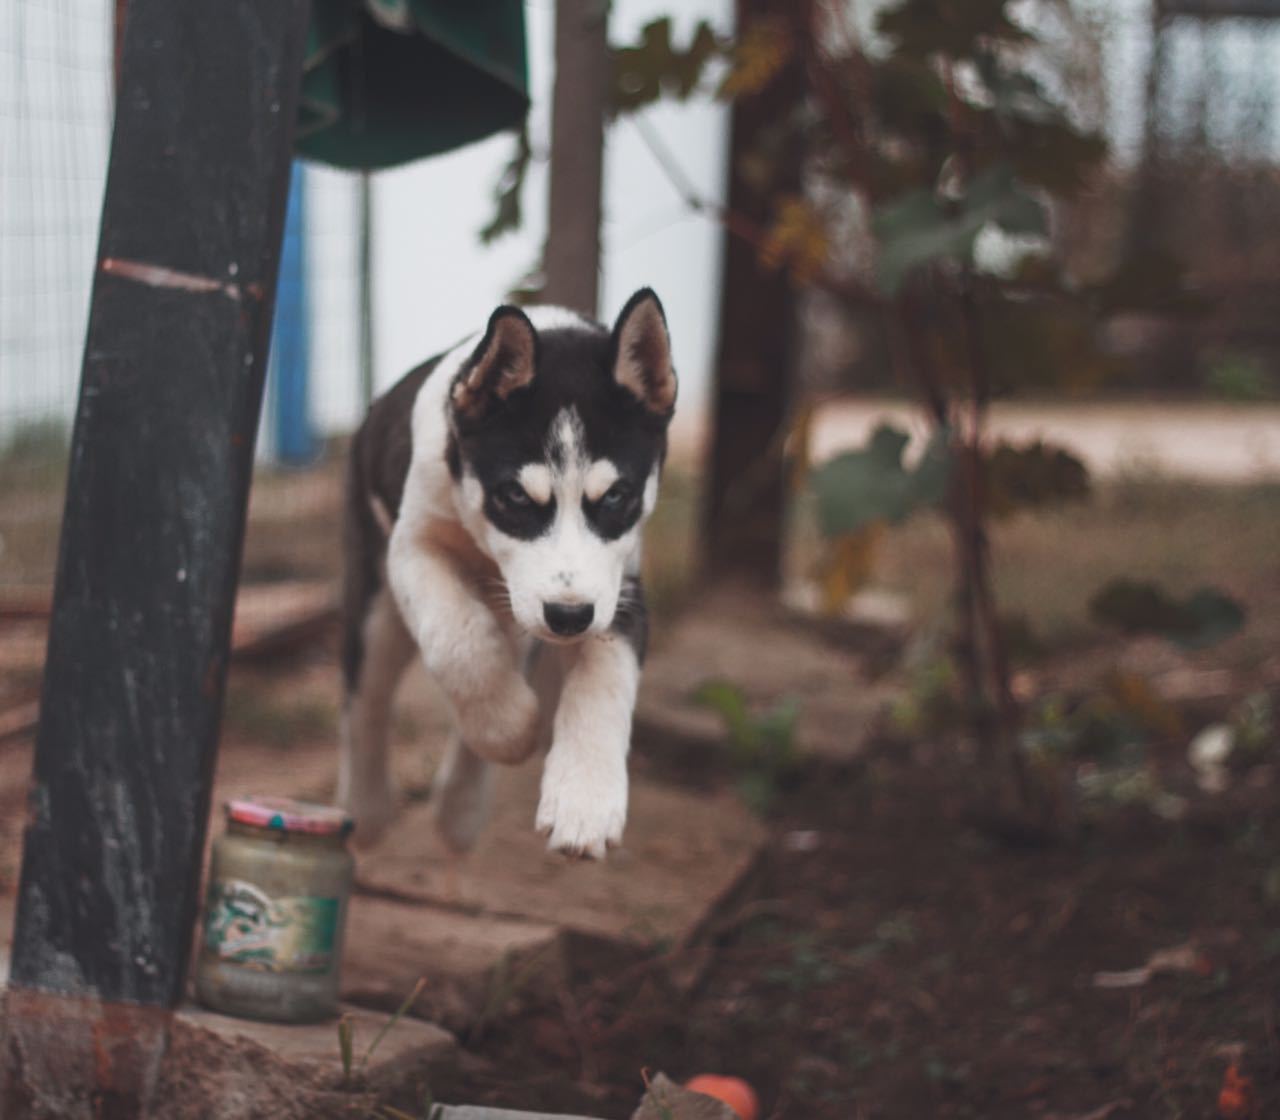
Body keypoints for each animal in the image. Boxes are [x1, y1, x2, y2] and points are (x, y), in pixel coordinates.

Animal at [337, 289, 680, 860]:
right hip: (375, 598)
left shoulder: (619, 588)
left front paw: (583, 802)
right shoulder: (413, 547)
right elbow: (460, 643)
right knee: (367, 698)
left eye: (615, 497)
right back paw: (365, 810)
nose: (569, 618)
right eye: (516, 496)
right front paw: (511, 728)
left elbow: (604, 682)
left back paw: (460, 809)